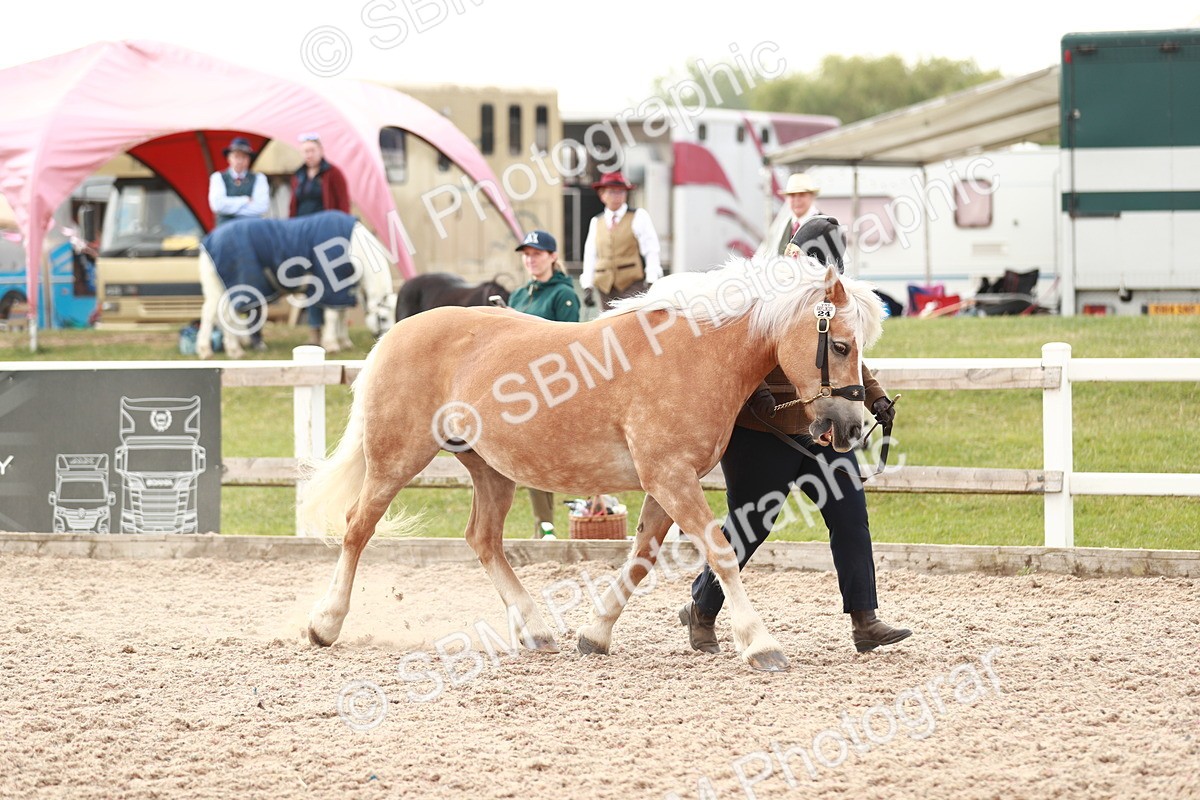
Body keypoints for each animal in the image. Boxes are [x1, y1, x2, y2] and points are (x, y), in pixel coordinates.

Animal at [196, 211, 395, 359]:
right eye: (383, 318)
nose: (387, 342)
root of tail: (208, 241)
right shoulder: (332, 284)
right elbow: (332, 316)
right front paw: (332, 344)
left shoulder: (345, 288)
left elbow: (342, 314)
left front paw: (344, 342)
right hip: (234, 283)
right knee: (217, 314)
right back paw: (220, 351)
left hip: (219, 285)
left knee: (219, 314)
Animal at [299, 254, 884, 671]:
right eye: (841, 345)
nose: (851, 427)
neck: (694, 355)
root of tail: (395, 333)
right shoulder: (671, 477)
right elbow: (719, 553)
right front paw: (761, 644)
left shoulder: (667, 484)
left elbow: (641, 558)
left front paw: (595, 634)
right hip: (396, 459)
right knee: (357, 528)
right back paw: (325, 624)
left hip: (491, 470)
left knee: (483, 540)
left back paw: (536, 630)